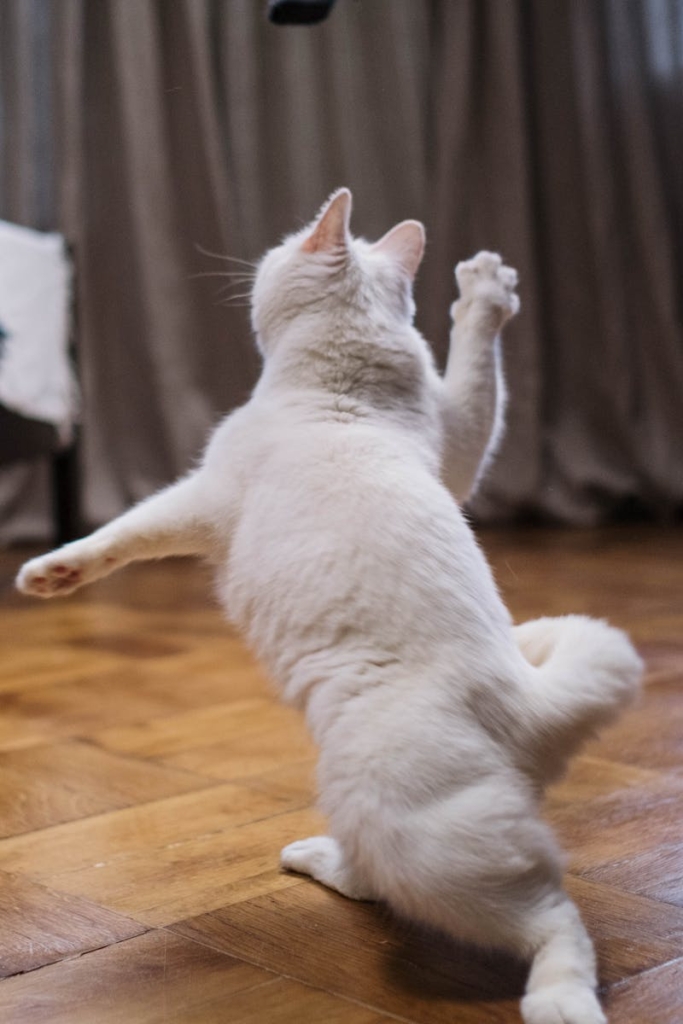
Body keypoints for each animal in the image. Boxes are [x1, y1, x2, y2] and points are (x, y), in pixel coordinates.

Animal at [18, 190, 643, 1024]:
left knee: (548, 919)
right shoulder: (455, 452)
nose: (260, 254)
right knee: (405, 883)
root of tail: (533, 705)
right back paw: (317, 857)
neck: (344, 391)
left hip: (408, 827)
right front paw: (484, 293)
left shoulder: (199, 498)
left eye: (283, 245)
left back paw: (557, 1000)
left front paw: (49, 573)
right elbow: (479, 375)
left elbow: (122, 533)